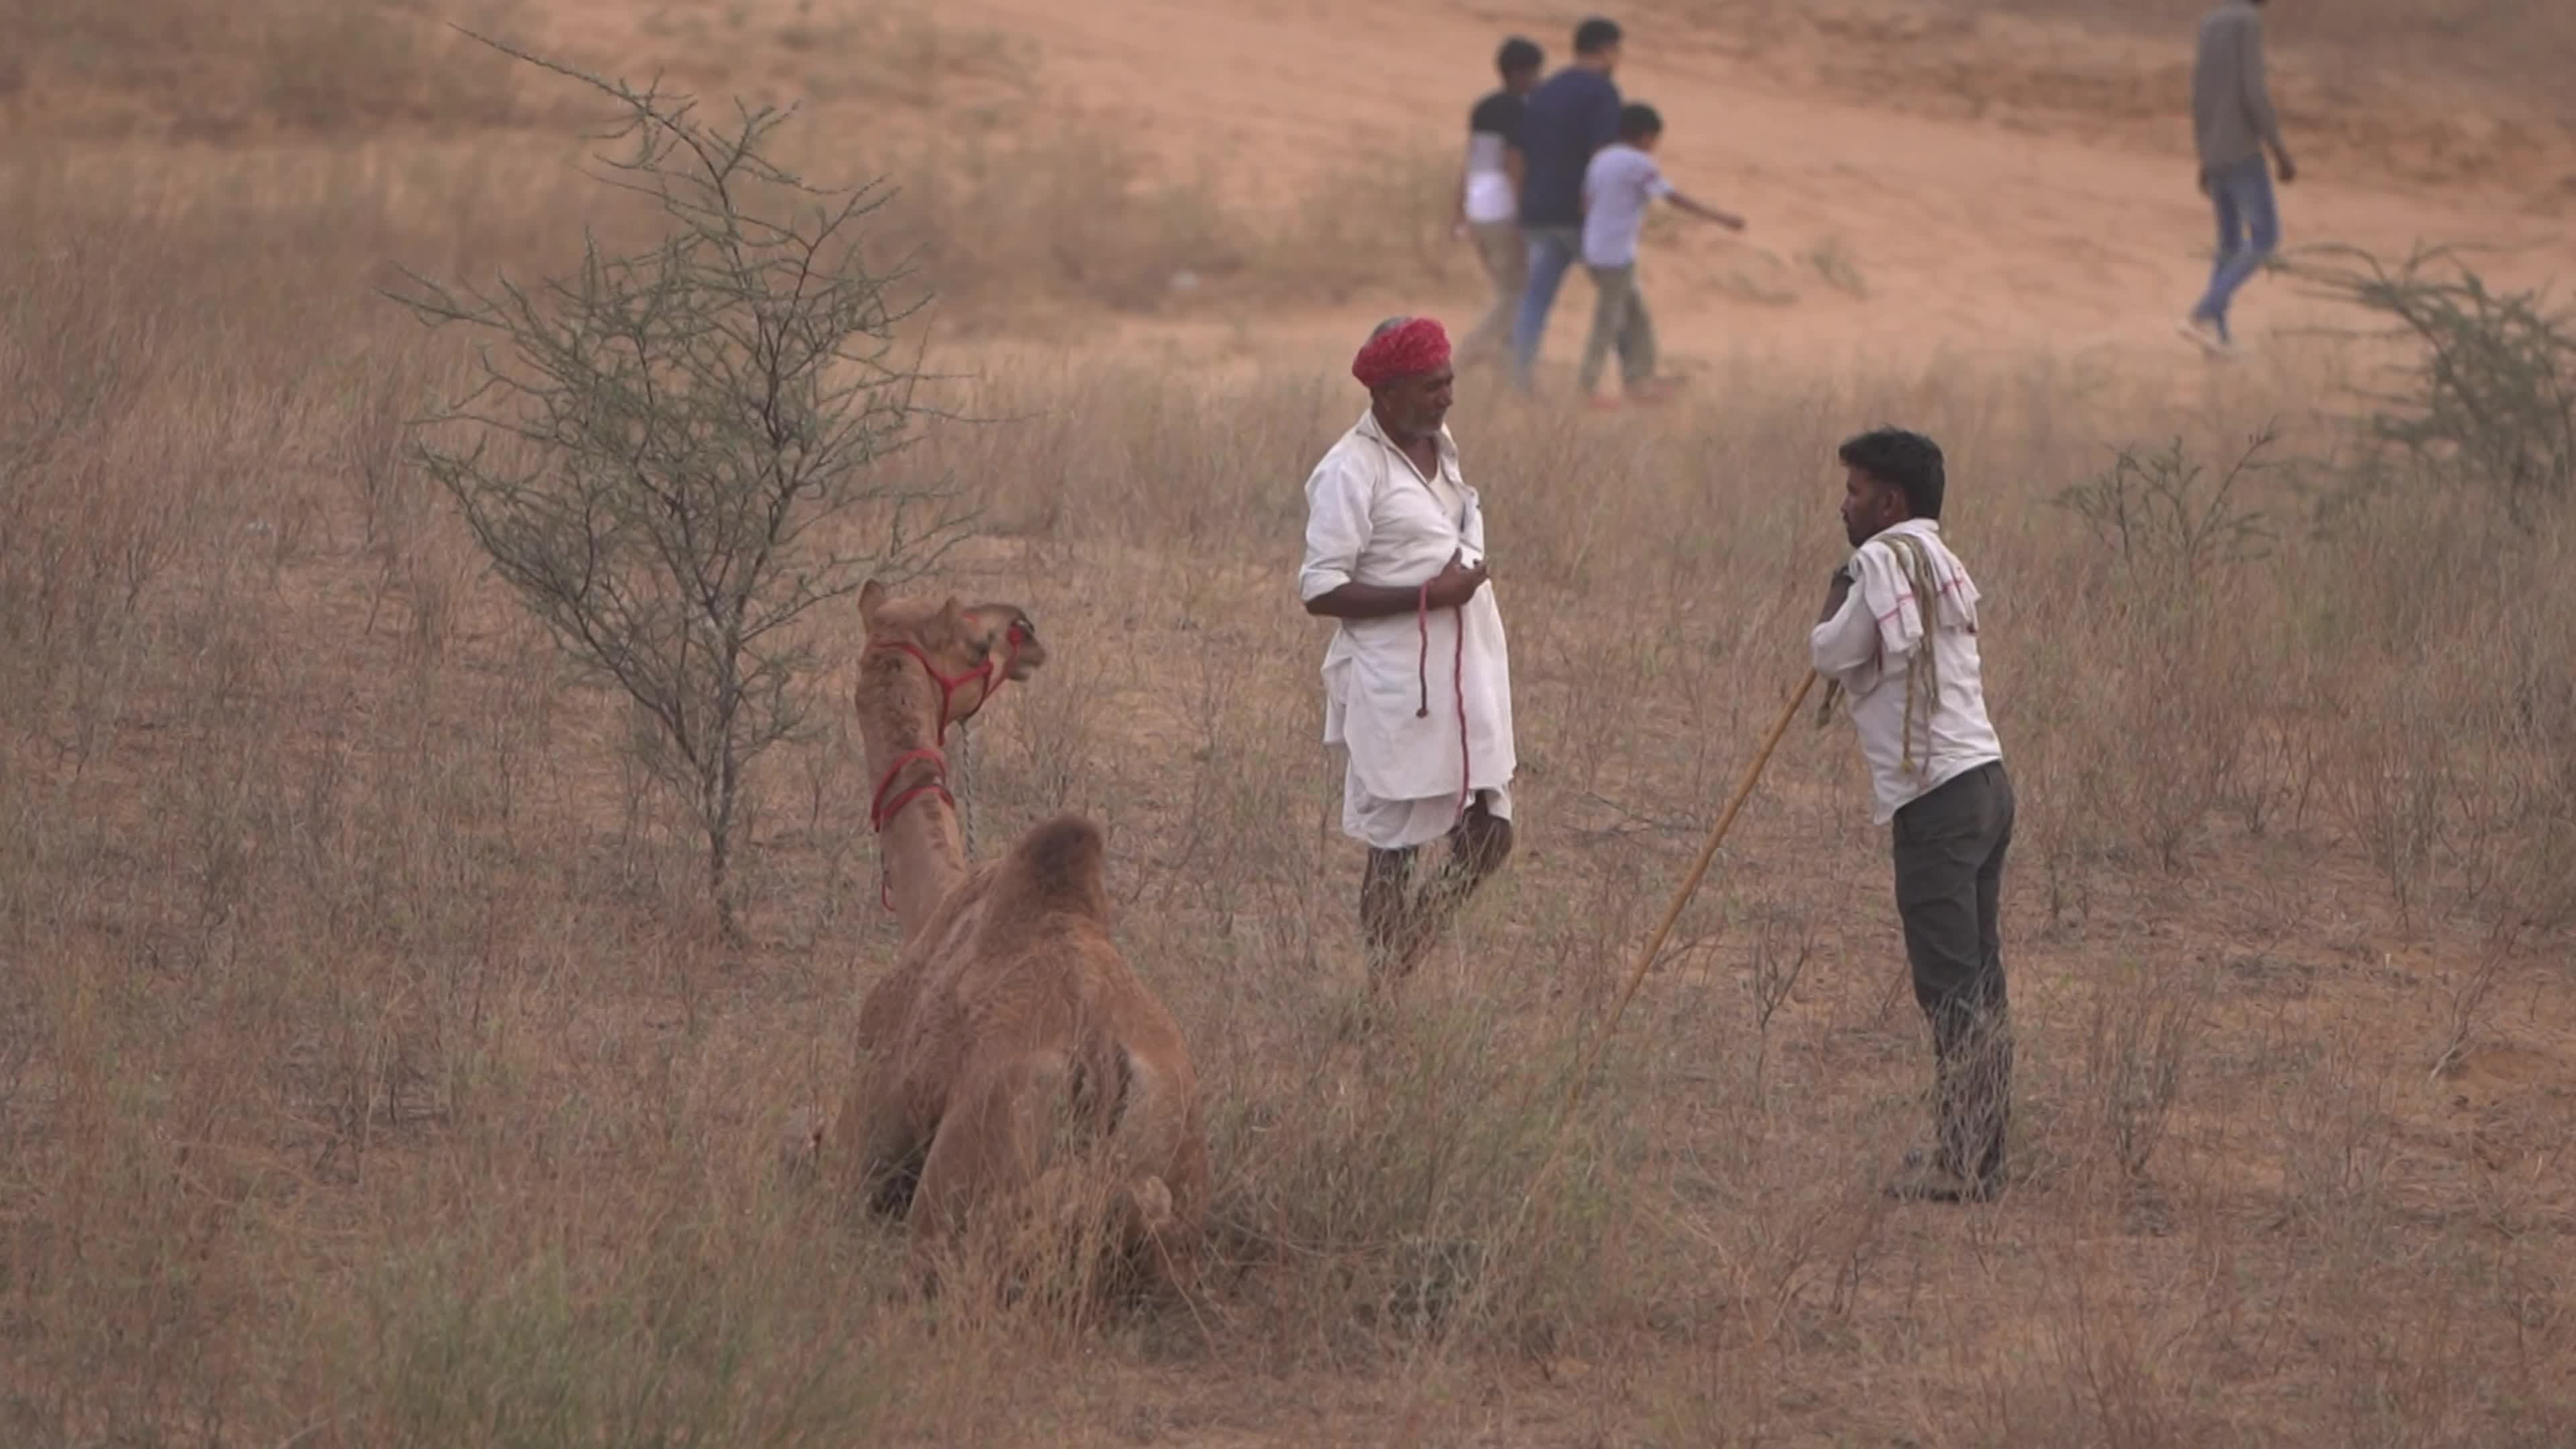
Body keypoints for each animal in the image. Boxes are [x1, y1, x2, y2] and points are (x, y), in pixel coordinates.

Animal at [807, 579, 1208, 1298]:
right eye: (980, 636)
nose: (1027, 628)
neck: (932, 904)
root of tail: (1102, 1063)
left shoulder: (866, 1128)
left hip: (959, 1181)